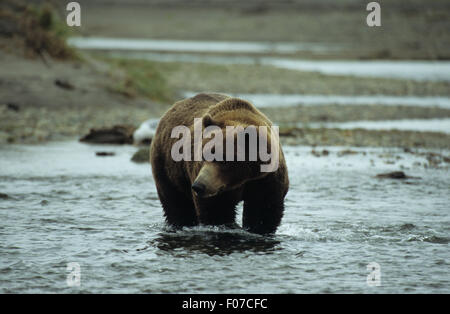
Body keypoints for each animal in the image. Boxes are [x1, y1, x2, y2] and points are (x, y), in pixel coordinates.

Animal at [149, 92, 290, 234]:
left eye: (223, 158)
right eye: (203, 155)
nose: (198, 186)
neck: (242, 178)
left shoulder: (266, 178)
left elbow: (263, 209)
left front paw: (258, 229)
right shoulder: (214, 185)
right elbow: (216, 211)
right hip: (167, 166)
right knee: (176, 203)